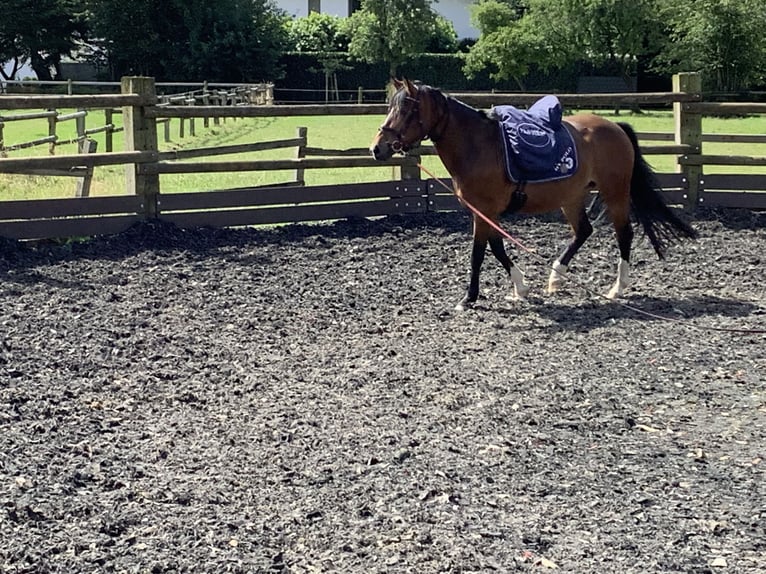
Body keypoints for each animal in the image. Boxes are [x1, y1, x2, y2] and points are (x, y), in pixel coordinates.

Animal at [368, 80, 700, 310]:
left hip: (615, 193)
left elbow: (479, 253)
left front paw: (469, 298)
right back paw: (556, 276)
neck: (478, 145)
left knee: (624, 235)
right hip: (572, 197)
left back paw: (617, 288)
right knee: (584, 231)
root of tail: (614, 127)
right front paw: (520, 287)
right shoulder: (485, 211)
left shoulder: (484, 211)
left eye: (408, 109)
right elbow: (497, 248)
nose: (377, 148)